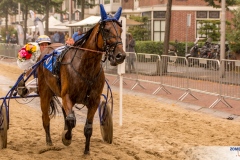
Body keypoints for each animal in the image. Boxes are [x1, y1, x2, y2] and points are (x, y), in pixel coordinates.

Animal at [36, 4, 125, 154]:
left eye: (121, 30)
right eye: (106, 30)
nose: (120, 55)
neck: (85, 67)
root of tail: (47, 49)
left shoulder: (94, 101)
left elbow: (88, 127)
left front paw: (86, 151)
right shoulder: (67, 96)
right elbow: (72, 120)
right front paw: (66, 137)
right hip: (44, 92)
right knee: (45, 118)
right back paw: (49, 142)